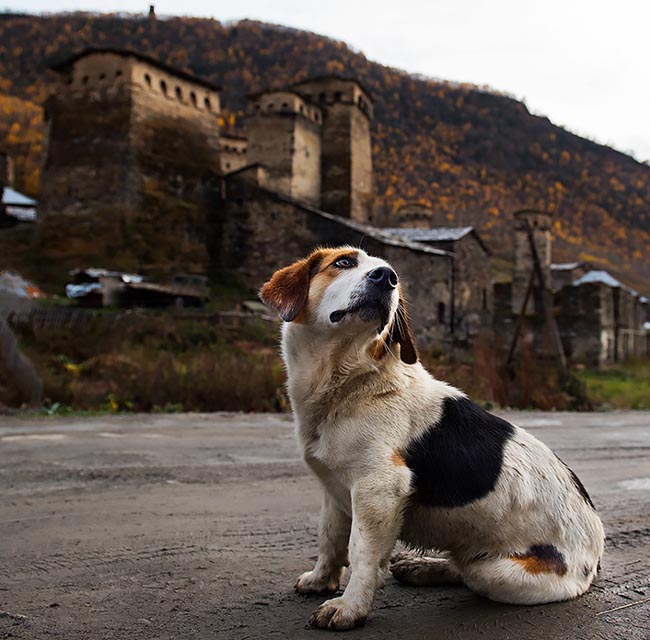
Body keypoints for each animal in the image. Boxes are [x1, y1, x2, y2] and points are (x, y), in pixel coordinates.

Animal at [258, 246, 604, 632]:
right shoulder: (334, 490)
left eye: (392, 275)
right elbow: (330, 539)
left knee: (467, 573)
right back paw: (421, 567)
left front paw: (350, 607)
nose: (387, 277)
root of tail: (595, 550)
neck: (351, 383)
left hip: (494, 571)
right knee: (458, 566)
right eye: (344, 262)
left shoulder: (379, 489)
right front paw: (321, 579)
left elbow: (362, 553)